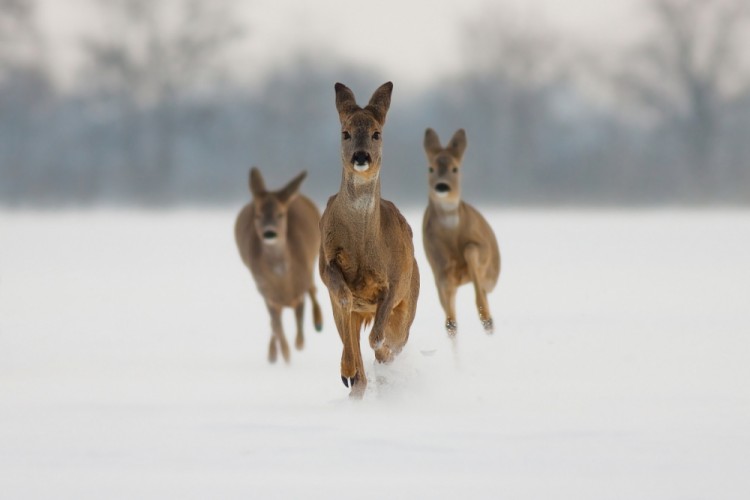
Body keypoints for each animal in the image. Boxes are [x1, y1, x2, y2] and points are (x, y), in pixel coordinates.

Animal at [235, 168, 324, 364]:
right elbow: (277, 327)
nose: (269, 233)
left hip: (314, 258)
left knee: (313, 288)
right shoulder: (267, 294)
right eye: (258, 215)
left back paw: (319, 323)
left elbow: (299, 325)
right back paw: (273, 354)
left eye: (281, 214)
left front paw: (298, 344)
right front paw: (285, 355)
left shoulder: (299, 289)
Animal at [318, 82, 420, 398]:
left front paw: (380, 353)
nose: (361, 156)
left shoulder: (396, 278)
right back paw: (352, 377)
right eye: (345, 133)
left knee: (392, 342)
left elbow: (378, 335)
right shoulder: (325, 262)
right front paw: (349, 372)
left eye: (377, 133)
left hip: (410, 301)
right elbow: (343, 295)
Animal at [420, 127, 502, 336]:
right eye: (430, 168)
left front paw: (485, 317)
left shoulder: (482, 249)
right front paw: (452, 324)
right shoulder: (438, 267)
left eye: (455, 168)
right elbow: (449, 310)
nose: (442, 186)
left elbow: (470, 250)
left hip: (492, 276)